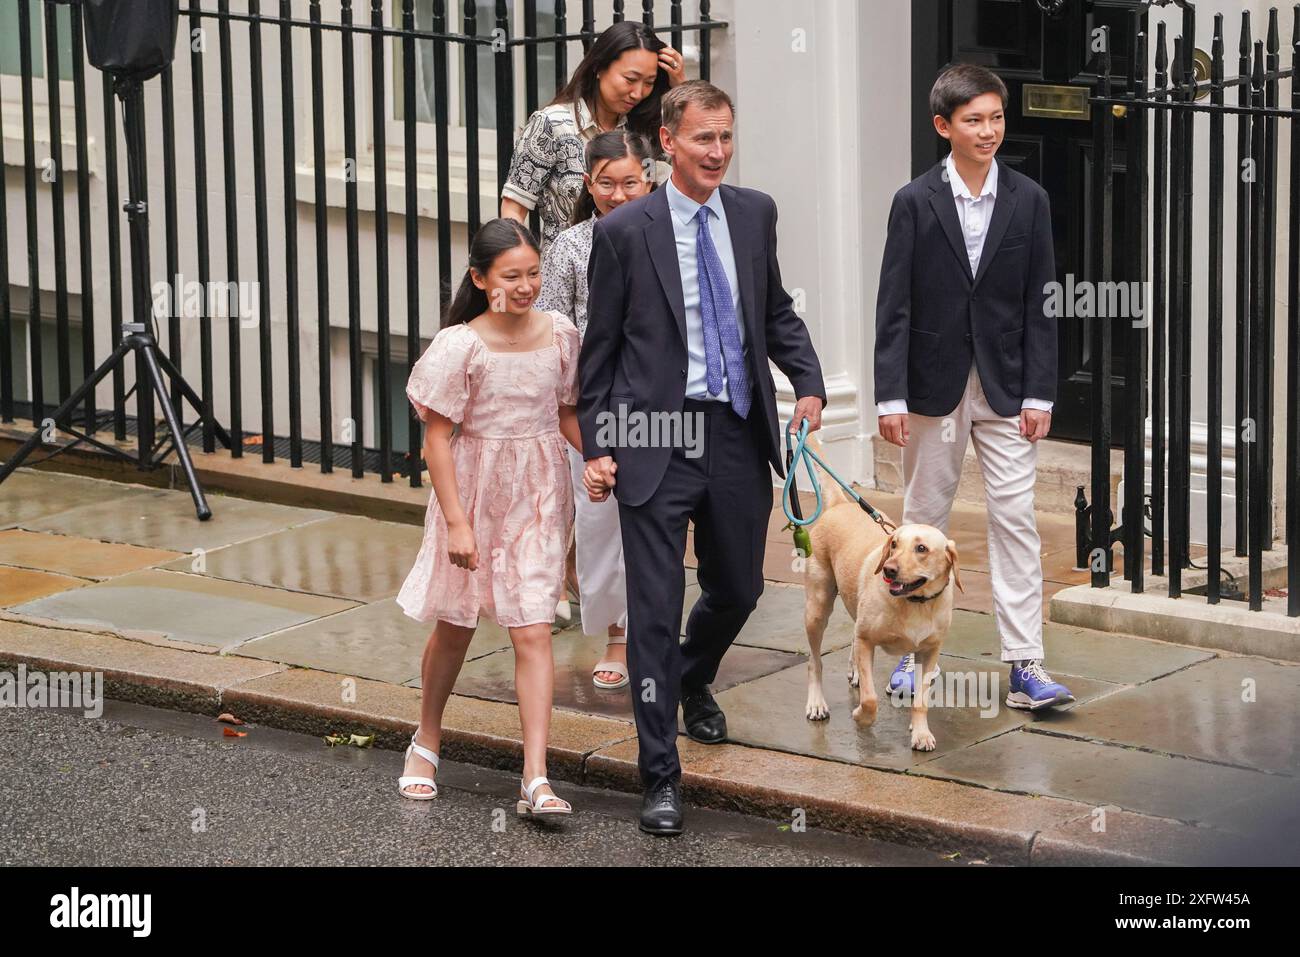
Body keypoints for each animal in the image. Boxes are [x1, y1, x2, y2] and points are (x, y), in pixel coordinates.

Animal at [795, 442, 961, 748]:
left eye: (921, 548)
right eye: (893, 544)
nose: (888, 569)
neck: (915, 604)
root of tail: (840, 504)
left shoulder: (929, 651)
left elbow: (921, 701)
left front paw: (921, 733)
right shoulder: (867, 641)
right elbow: (871, 699)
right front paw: (861, 716)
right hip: (817, 608)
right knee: (815, 661)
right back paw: (817, 703)